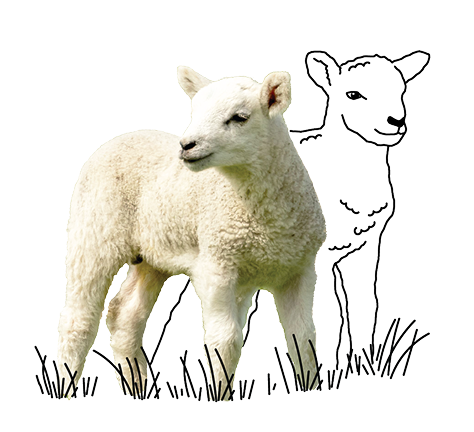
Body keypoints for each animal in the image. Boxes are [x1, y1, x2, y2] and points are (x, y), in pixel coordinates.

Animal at [56, 65, 327, 401]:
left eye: (240, 117)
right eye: (194, 112)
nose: (187, 146)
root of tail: (122, 136)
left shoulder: (299, 269)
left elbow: (303, 339)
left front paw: (309, 389)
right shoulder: (217, 263)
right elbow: (226, 341)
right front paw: (218, 395)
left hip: (153, 253)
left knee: (124, 315)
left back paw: (136, 385)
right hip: (94, 231)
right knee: (77, 319)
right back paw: (67, 389)